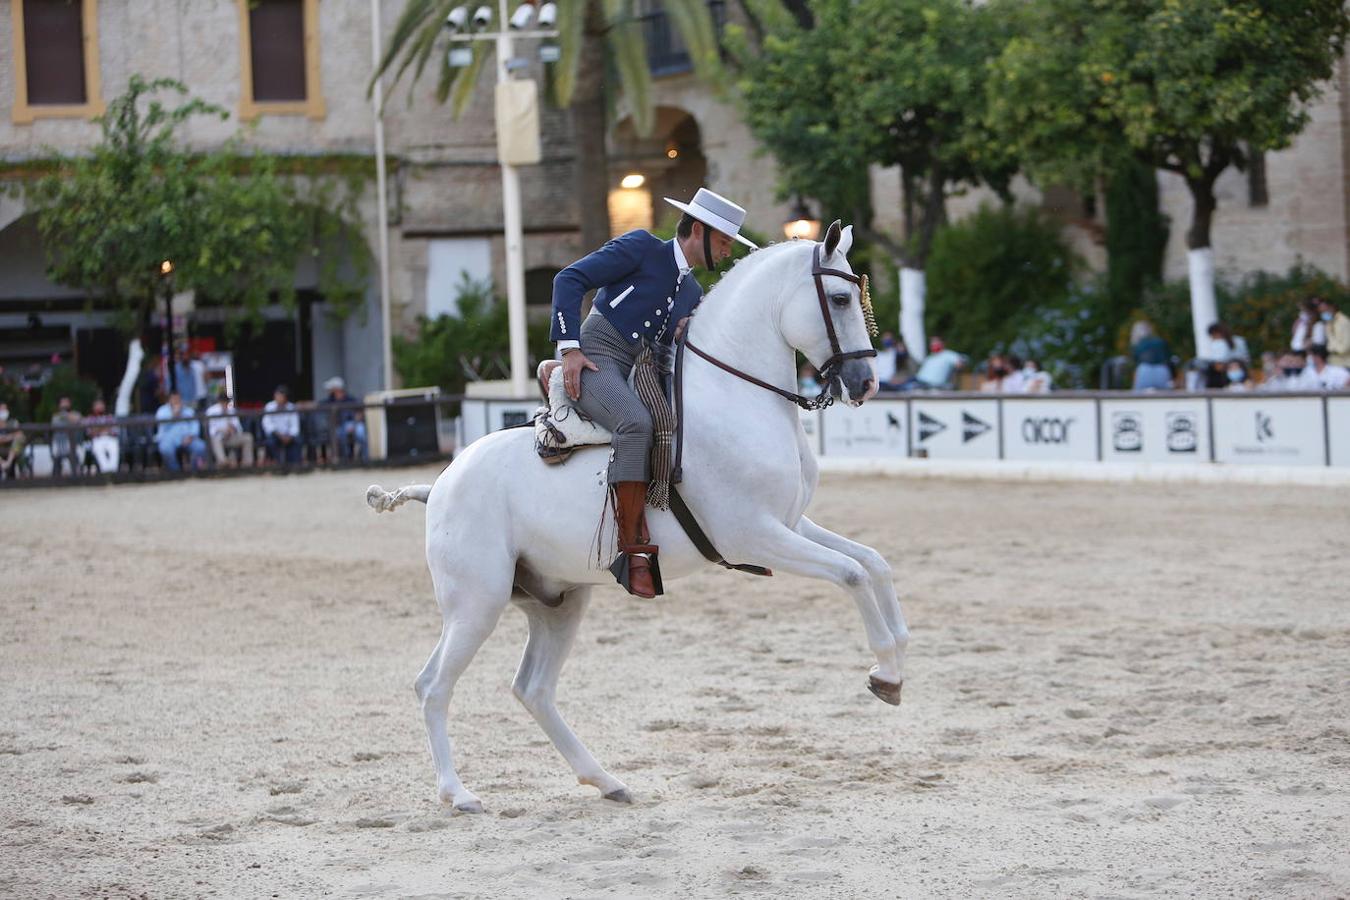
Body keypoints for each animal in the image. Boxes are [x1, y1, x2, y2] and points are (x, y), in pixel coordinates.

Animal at [372, 221, 907, 814]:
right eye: (839, 298)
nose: (865, 384)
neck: (733, 400)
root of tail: (440, 483)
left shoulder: (790, 525)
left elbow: (873, 562)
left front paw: (897, 660)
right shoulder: (756, 536)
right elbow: (852, 574)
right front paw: (884, 670)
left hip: (557, 604)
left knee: (533, 689)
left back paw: (606, 781)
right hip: (476, 605)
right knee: (433, 686)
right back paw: (458, 793)